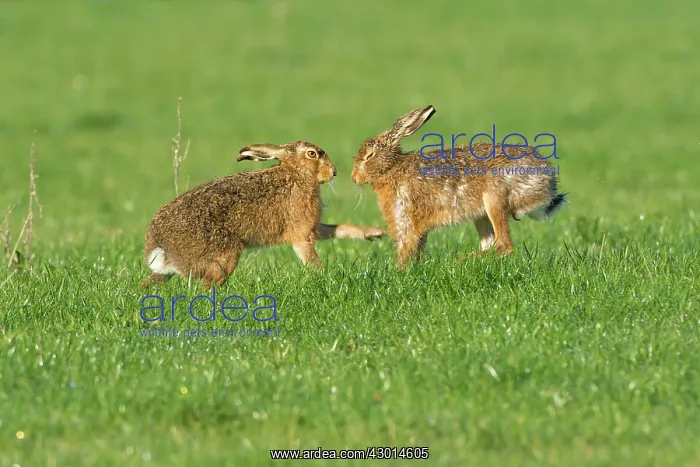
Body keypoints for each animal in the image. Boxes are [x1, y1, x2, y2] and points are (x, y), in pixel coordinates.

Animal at [141, 140, 385, 288]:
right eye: (312, 154)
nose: (333, 172)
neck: (297, 174)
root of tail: (160, 247)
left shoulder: (314, 228)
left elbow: (339, 229)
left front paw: (375, 233)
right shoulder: (301, 234)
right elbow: (310, 258)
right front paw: (325, 276)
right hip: (224, 257)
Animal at [350, 105, 567, 269]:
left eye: (369, 156)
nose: (353, 178)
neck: (392, 167)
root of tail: (548, 183)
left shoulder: (404, 216)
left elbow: (406, 247)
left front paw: (400, 272)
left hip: (495, 199)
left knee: (504, 245)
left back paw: (456, 261)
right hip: (482, 215)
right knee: (490, 244)